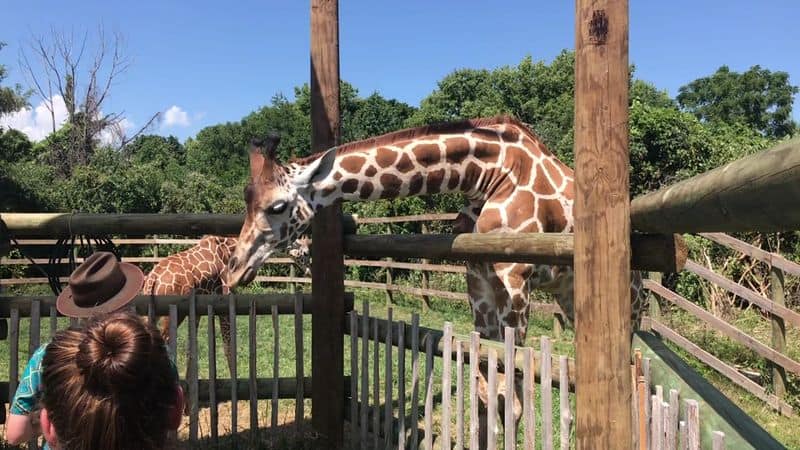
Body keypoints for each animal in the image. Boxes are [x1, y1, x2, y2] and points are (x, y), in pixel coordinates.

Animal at [225, 116, 647, 444]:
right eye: (246, 199)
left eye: (277, 206)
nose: (233, 270)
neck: (488, 176)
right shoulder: (479, 282)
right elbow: (484, 395)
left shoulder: (515, 279)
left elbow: (511, 400)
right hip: (568, 295)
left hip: (627, 307)